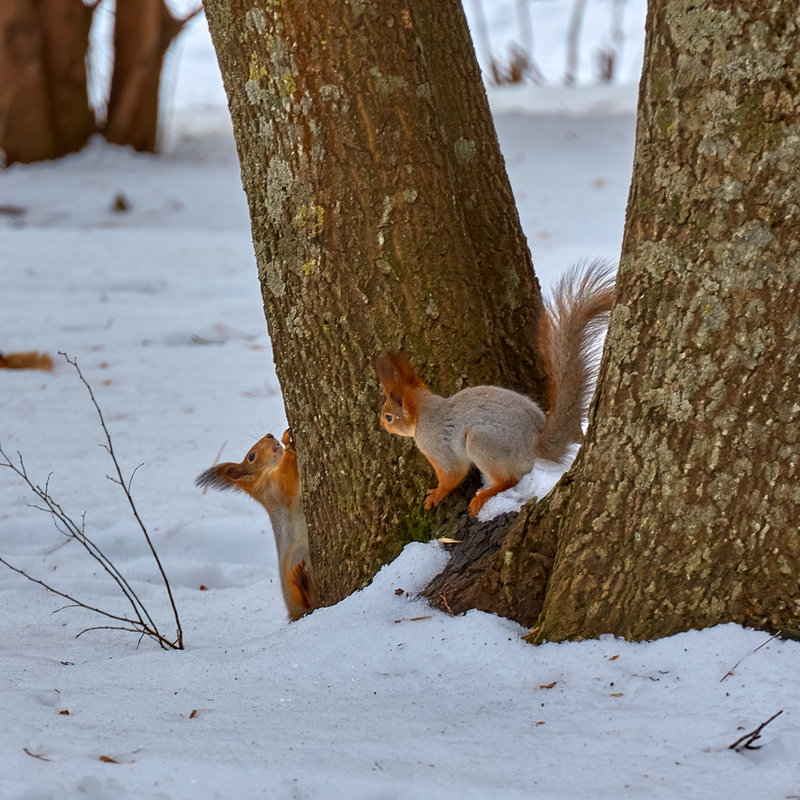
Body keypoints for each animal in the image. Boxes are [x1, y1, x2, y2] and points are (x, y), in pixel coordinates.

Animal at [195, 428, 318, 620]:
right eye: (251, 457)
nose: (269, 435)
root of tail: (295, 614)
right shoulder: (275, 490)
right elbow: (286, 480)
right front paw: (287, 443)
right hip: (297, 552)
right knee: (305, 601)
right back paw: (301, 582)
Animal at [374, 260, 612, 516]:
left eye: (389, 416)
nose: (382, 425)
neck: (424, 410)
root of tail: (534, 446)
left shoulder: (437, 445)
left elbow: (452, 474)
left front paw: (437, 494)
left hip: (481, 443)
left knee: (508, 480)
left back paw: (484, 495)